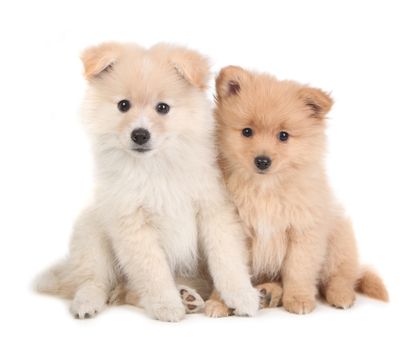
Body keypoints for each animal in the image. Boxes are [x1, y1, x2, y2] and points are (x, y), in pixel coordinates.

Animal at [37, 45, 260, 322]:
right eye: (123, 105)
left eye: (162, 107)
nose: (140, 134)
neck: (156, 166)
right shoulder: (132, 222)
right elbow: (153, 271)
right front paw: (166, 305)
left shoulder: (213, 209)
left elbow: (226, 259)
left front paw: (242, 295)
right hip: (91, 233)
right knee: (96, 280)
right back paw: (88, 301)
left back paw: (186, 296)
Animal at [206, 64, 390, 316]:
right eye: (247, 132)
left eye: (283, 136)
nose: (262, 161)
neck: (266, 189)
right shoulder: (235, 231)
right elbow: (230, 271)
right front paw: (220, 301)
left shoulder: (303, 231)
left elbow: (298, 270)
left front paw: (299, 299)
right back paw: (269, 292)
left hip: (338, 237)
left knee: (342, 275)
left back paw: (340, 294)